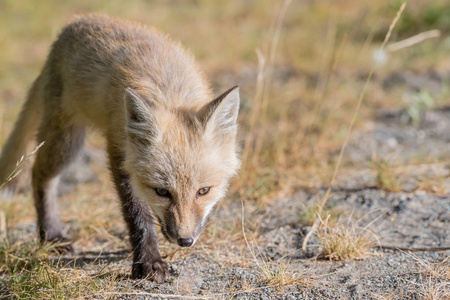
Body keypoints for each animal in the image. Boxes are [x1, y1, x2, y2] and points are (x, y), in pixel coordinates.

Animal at [0, 14, 239, 282]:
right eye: (161, 192)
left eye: (203, 191)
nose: (185, 240)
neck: (169, 93)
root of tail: (75, 22)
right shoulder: (120, 153)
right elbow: (137, 214)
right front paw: (148, 261)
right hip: (66, 142)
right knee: (40, 176)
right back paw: (50, 235)